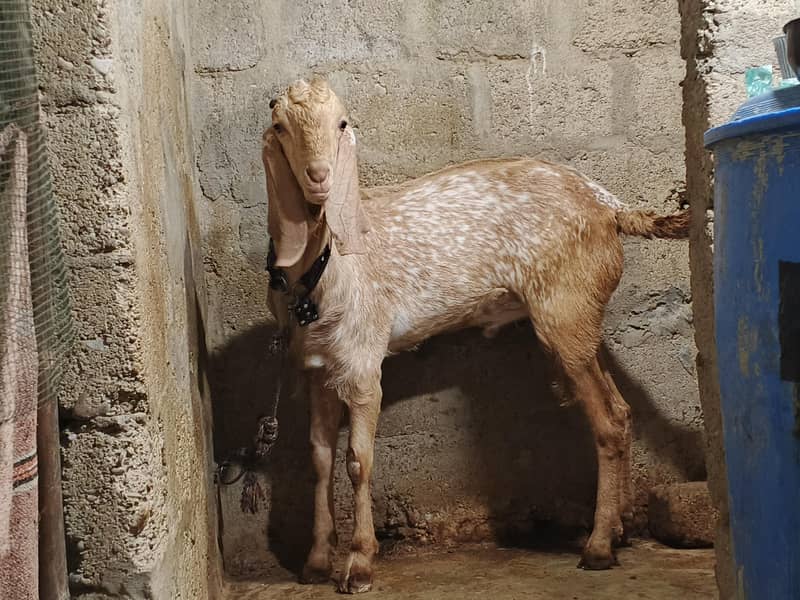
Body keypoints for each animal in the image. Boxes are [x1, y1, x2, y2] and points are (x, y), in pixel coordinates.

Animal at [261, 77, 689, 594]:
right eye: (280, 126)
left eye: (342, 123)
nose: (319, 176)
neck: (322, 270)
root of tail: (609, 207)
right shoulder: (319, 369)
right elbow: (321, 460)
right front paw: (317, 561)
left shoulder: (363, 361)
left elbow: (357, 460)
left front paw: (359, 564)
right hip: (579, 320)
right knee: (621, 412)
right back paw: (621, 528)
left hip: (564, 308)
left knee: (606, 422)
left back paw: (599, 546)